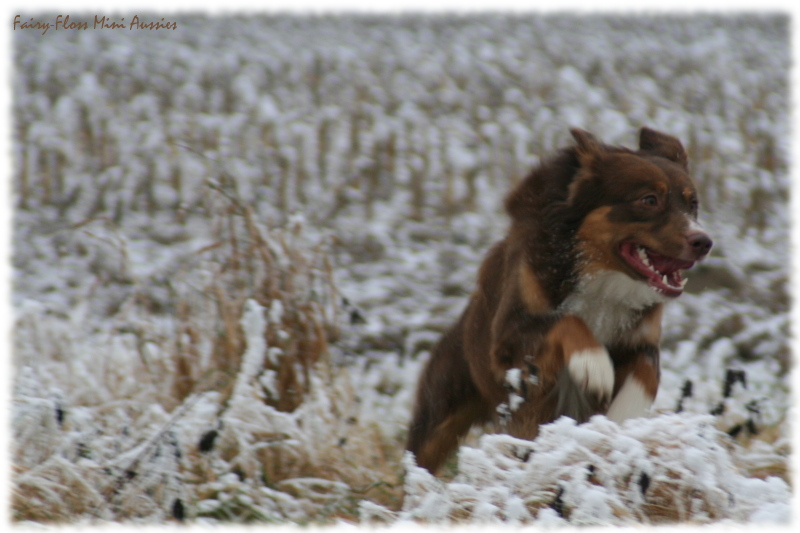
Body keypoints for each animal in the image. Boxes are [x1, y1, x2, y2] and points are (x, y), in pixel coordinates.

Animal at [406, 127, 712, 472]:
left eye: (692, 203)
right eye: (649, 200)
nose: (704, 242)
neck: (598, 275)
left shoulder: (641, 337)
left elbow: (647, 367)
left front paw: (624, 416)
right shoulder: (509, 338)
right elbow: (567, 320)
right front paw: (594, 366)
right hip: (444, 407)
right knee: (422, 455)